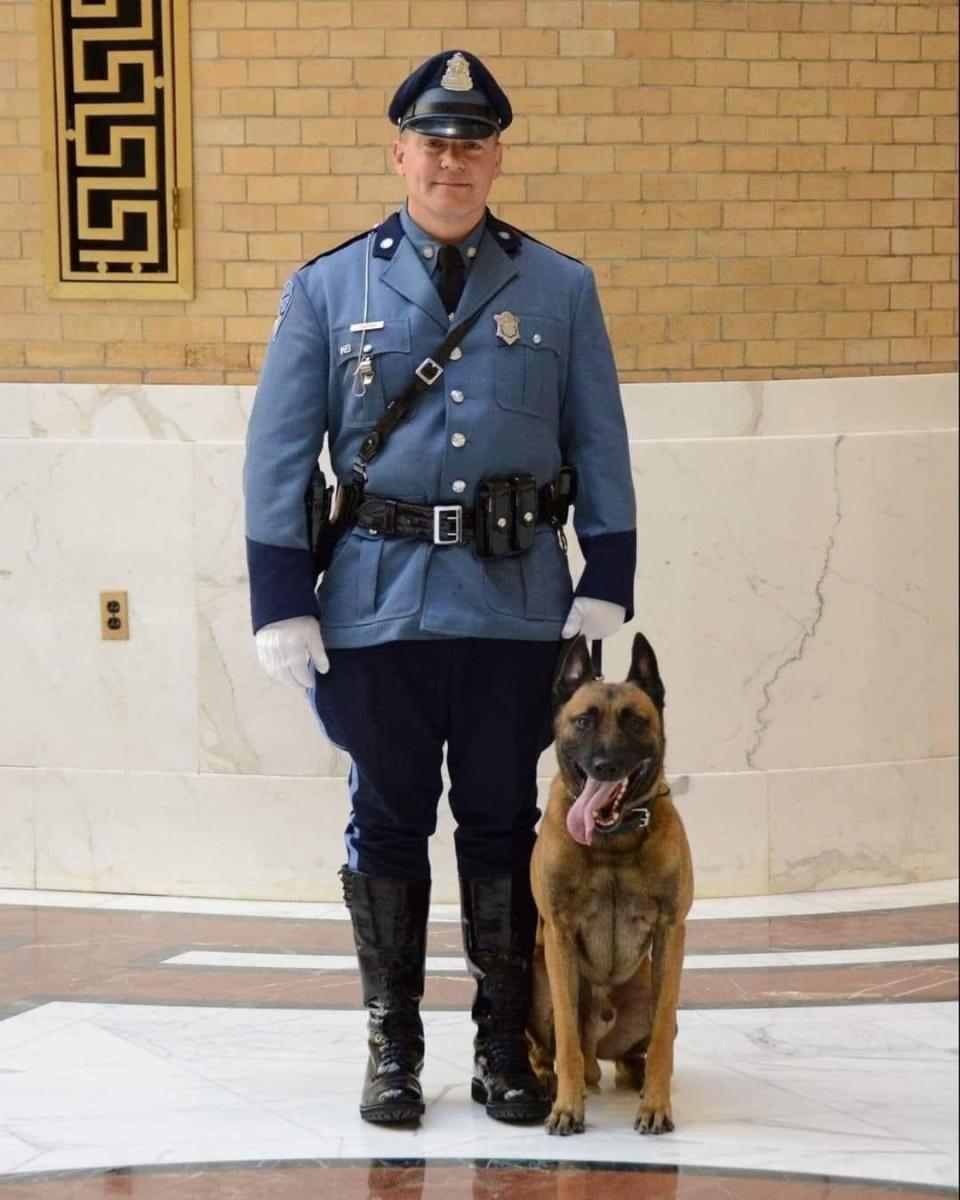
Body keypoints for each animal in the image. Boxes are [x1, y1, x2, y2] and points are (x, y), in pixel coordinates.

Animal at [528, 633, 696, 1137]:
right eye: (582, 720)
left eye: (635, 721)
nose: (603, 766)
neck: (613, 841)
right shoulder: (560, 935)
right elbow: (567, 1036)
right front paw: (567, 1107)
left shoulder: (670, 933)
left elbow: (661, 1036)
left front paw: (657, 1104)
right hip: (535, 985)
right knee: (553, 1049)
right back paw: (548, 1079)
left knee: (634, 1053)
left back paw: (634, 1078)